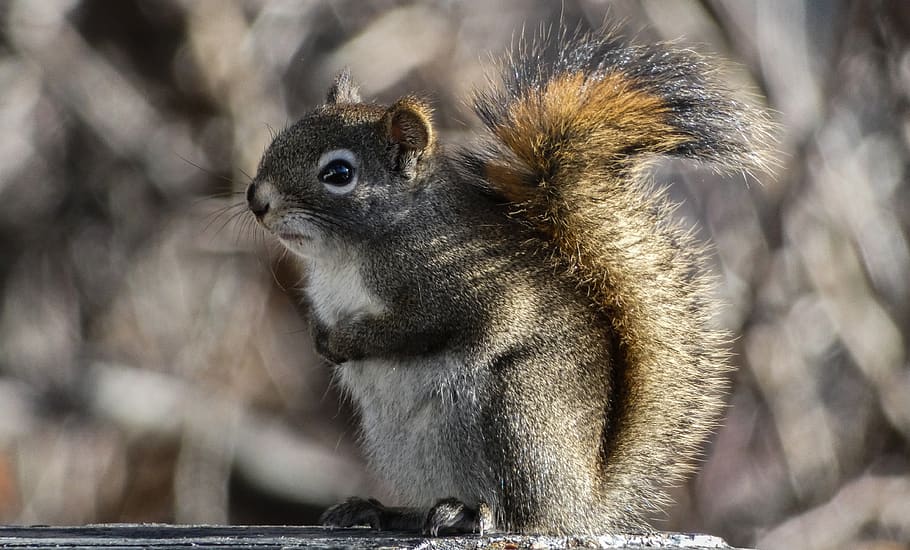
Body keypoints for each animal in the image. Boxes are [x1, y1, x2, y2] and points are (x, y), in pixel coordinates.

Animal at [245, 30, 772, 535]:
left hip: (517, 411)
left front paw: (346, 342)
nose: (257, 200)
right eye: (282, 138)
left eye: (338, 173)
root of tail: (584, 503)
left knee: (526, 515)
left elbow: (419, 327)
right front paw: (320, 337)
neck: (346, 255)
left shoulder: (465, 289)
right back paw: (392, 512)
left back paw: (473, 516)